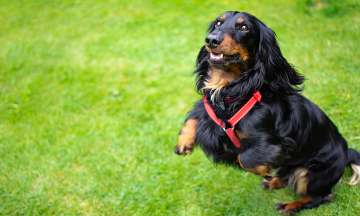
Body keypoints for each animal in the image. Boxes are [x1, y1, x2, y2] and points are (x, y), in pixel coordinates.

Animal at [174, 11, 360, 214]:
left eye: (244, 27)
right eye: (217, 23)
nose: (211, 40)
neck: (231, 93)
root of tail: (347, 152)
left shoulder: (270, 142)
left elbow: (245, 158)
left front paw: (265, 170)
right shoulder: (210, 107)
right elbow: (196, 114)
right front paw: (184, 143)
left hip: (312, 173)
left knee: (318, 197)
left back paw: (288, 205)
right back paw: (274, 182)